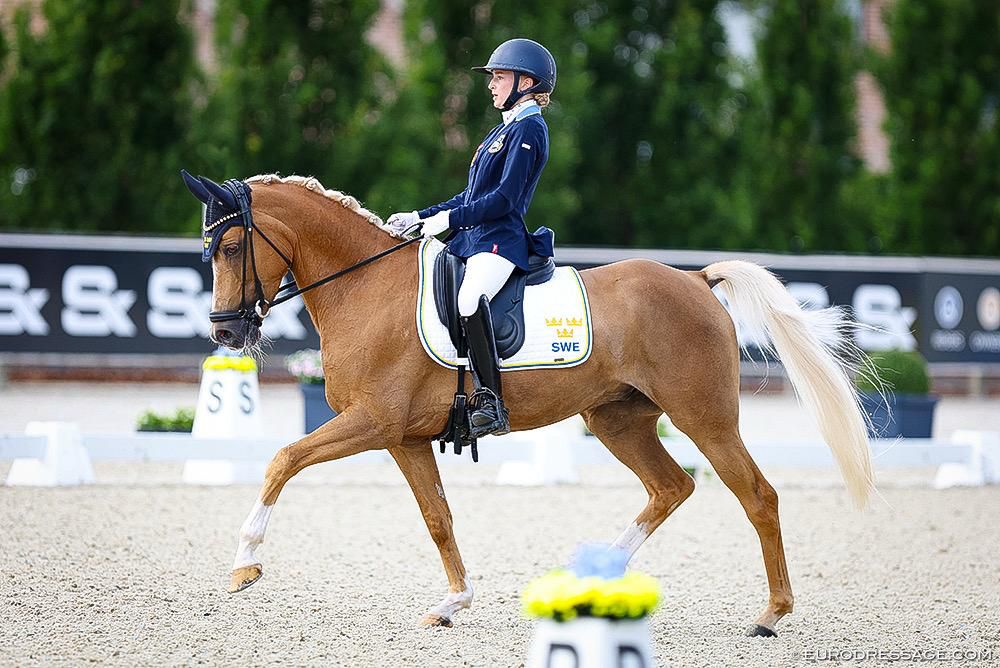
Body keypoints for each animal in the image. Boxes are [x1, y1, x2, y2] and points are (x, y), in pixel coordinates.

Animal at [181, 171, 875, 636]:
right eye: (209, 251)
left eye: (233, 248)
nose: (225, 333)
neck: (365, 287)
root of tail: (696, 280)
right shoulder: (403, 437)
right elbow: (438, 518)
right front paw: (453, 602)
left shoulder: (372, 422)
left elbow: (282, 458)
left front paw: (245, 564)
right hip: (616, 420)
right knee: (671, 487)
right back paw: (593, 583)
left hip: (704, 419)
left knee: (757, 496)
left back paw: (773, 614)